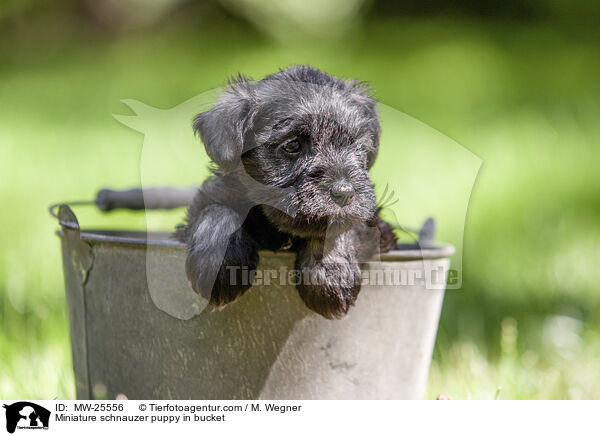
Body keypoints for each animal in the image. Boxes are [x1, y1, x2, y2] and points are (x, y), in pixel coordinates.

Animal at [176, 64, 396, 318]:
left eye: (358, 147)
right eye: (292, 145)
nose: (345, 192)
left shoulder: (373, 224)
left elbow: (338, 227)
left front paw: (330, 277)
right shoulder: (210, 199)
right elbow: (218, 212)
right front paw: (220, 268)